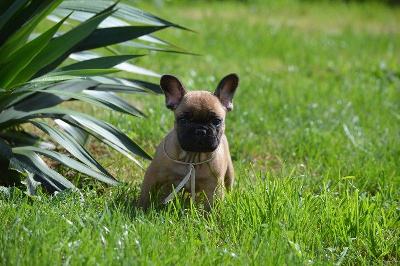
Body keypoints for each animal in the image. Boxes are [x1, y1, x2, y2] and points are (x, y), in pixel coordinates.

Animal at [136, 74, 239, 211]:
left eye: (217, 121)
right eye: (183, 119)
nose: (200, 130)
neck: (192, 157)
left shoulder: (214, 187)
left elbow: (212, 208)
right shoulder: (153, 175)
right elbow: (145, 196)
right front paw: (139, 211)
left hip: (229, 173)